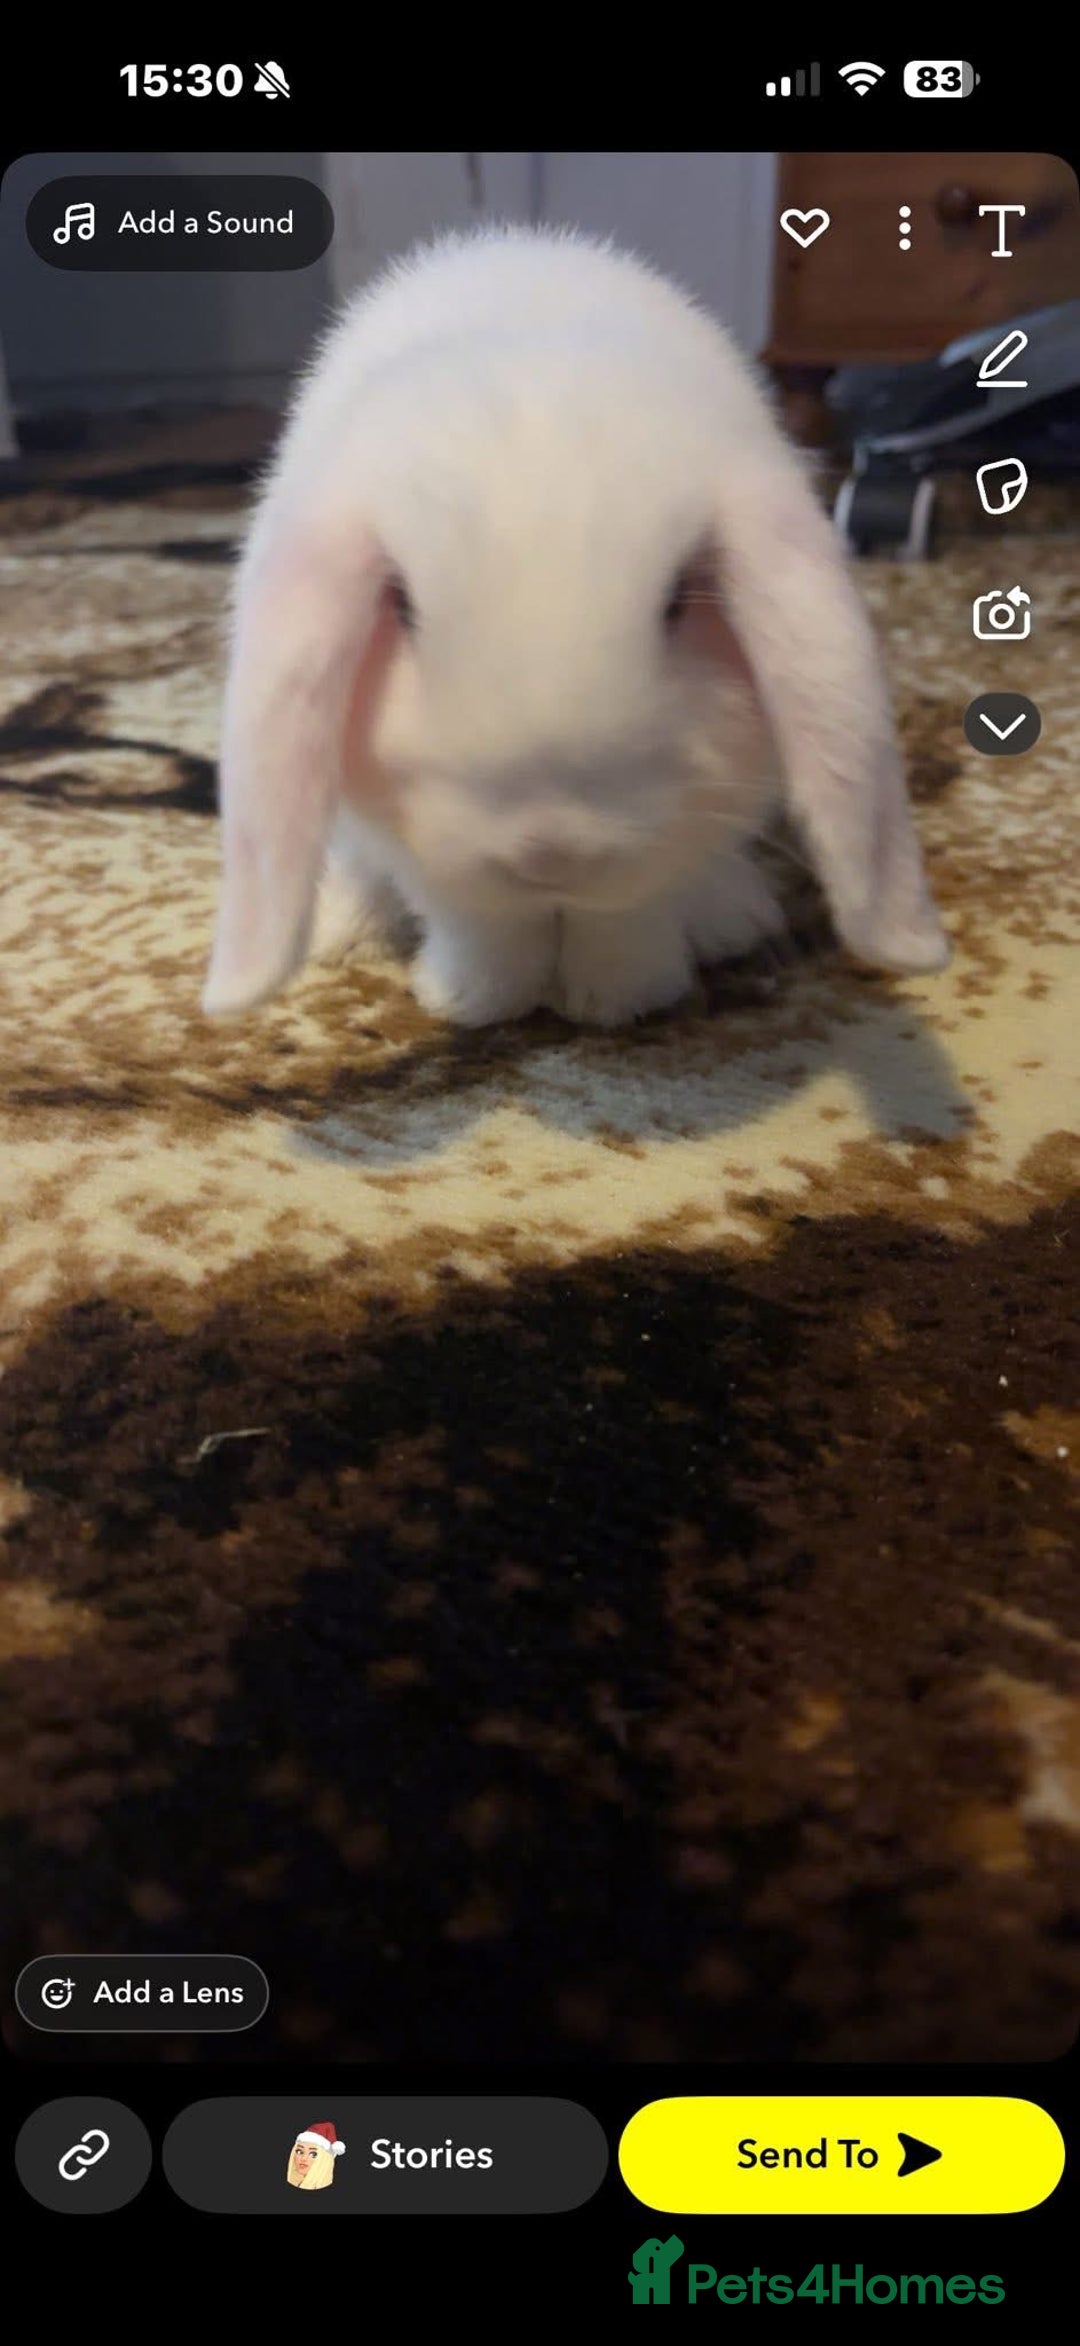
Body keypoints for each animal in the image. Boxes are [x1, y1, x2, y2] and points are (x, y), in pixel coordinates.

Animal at [202, 223, 949, 1031]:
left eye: (678, 599)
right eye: (401, 606)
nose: (553, 853)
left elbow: (631, 911)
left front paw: (618, 999)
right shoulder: (415, 837)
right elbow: (478, 919)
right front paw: (478, 999)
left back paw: (734, 919)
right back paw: (346, 930)